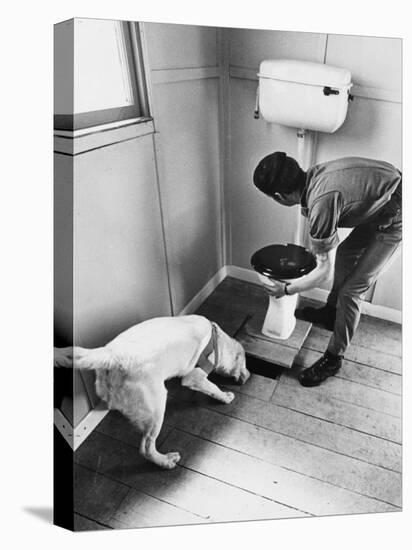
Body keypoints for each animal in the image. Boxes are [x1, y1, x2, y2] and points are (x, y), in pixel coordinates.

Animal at [54, 316, 248, 468]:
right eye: (244, 363)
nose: (247, 377)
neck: (217, 340)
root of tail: (111, 355)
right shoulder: (194, 377)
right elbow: (213, 388)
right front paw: (225, 396)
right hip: (156, 408)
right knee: (146, 447)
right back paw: (165, 461)